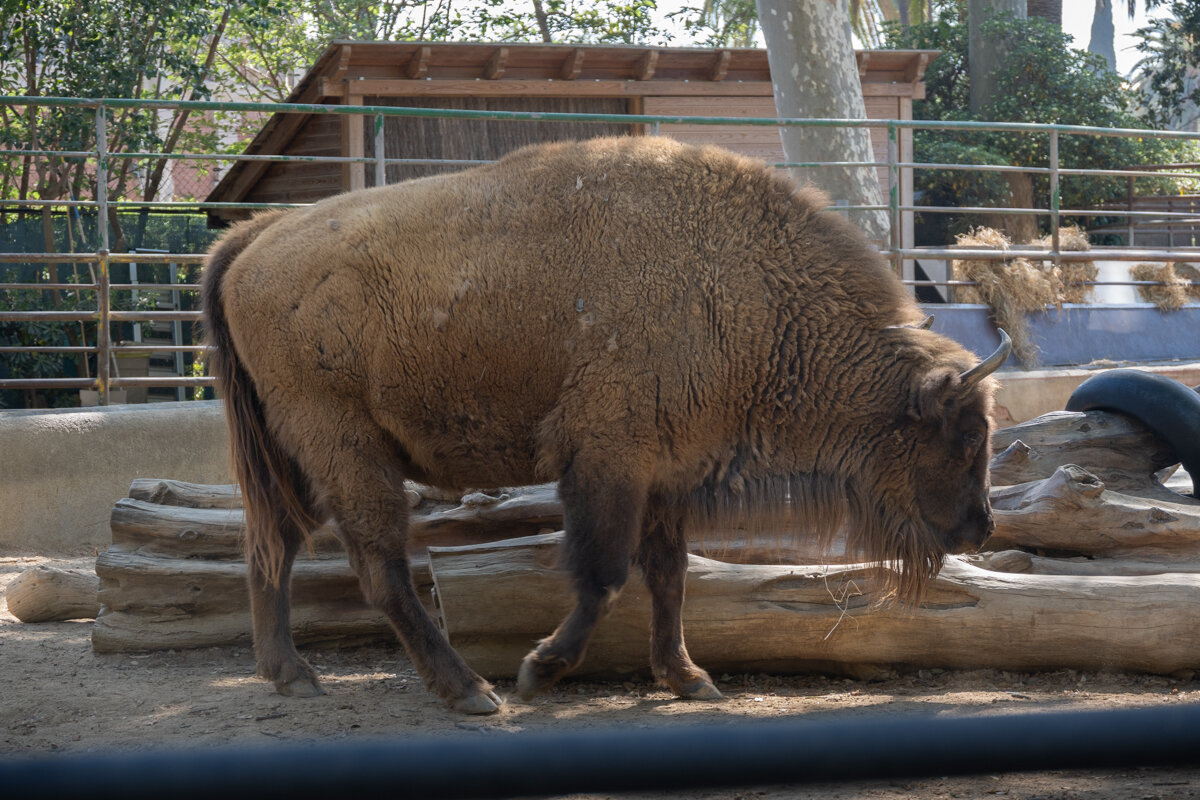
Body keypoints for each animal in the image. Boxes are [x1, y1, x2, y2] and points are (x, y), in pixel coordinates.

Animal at [201, 134, 1008, 714]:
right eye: (968, 434)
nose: (981, 527)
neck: (747, 286)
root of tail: (255, 241)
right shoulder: (608, 460)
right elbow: (605, 575)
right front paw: (539, 670)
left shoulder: (668, 472)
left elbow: (669, 573)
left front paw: (688, 678)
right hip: (345, 447)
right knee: (378, 564)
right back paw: (469, 692)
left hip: (288, 456)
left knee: (273, 543)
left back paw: (290, 673)